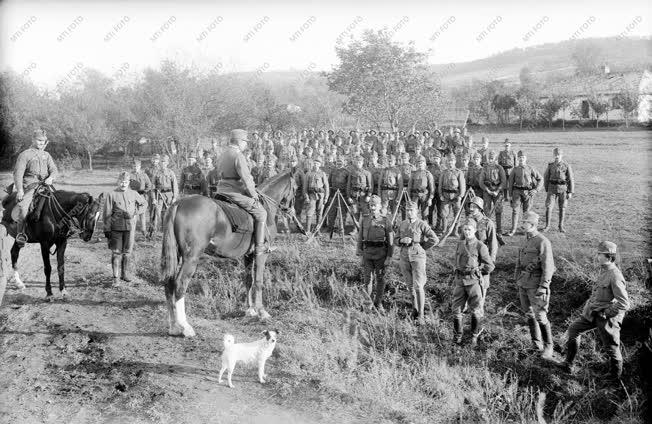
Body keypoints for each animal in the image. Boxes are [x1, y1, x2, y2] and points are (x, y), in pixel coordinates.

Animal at [161, 171, 298, 336]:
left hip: (176, 255)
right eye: (296, 188)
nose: (291, 211)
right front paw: (262, 312)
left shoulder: (248, 255)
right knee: (180, 284)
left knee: (169, 283)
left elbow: (248, 280)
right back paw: (186, 327)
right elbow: (258, 281)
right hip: (191, 258)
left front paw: (250, 310)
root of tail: (179, 204)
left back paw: (173, 327)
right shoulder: (261, 254)